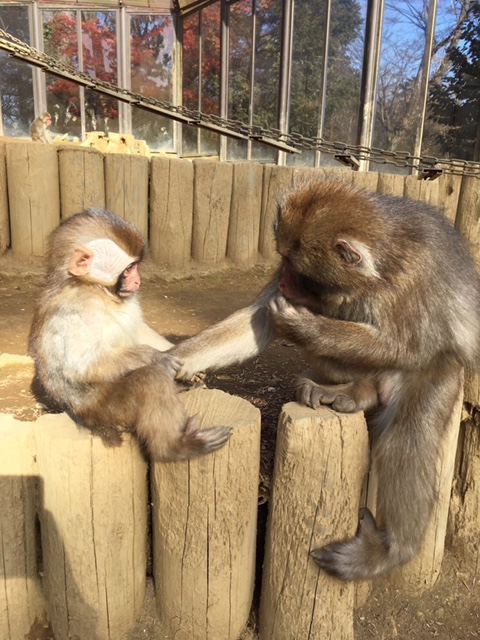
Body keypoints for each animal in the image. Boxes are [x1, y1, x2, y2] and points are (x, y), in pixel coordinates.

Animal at [29, 209, 232, 460]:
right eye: (128, 269)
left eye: (136, 266)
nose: (137, 280)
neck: (95, 288)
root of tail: (83, 416)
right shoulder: (78, 309)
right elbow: (79, 367)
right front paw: (155, 357)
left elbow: (138, 328)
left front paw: (187, 368)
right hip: (106, 411)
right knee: (150, 379)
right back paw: (174, 447)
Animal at [172, 179, 480, 580]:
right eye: (283, 258)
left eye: (294, 264)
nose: (285, 279)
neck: (377, 274)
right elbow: (258, 320)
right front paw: (174, 361)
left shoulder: (414, 280)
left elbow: (410, 347)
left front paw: (302, 327)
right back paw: (357, 391)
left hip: (442, 373)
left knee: (408, 435)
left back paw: (389, 551)